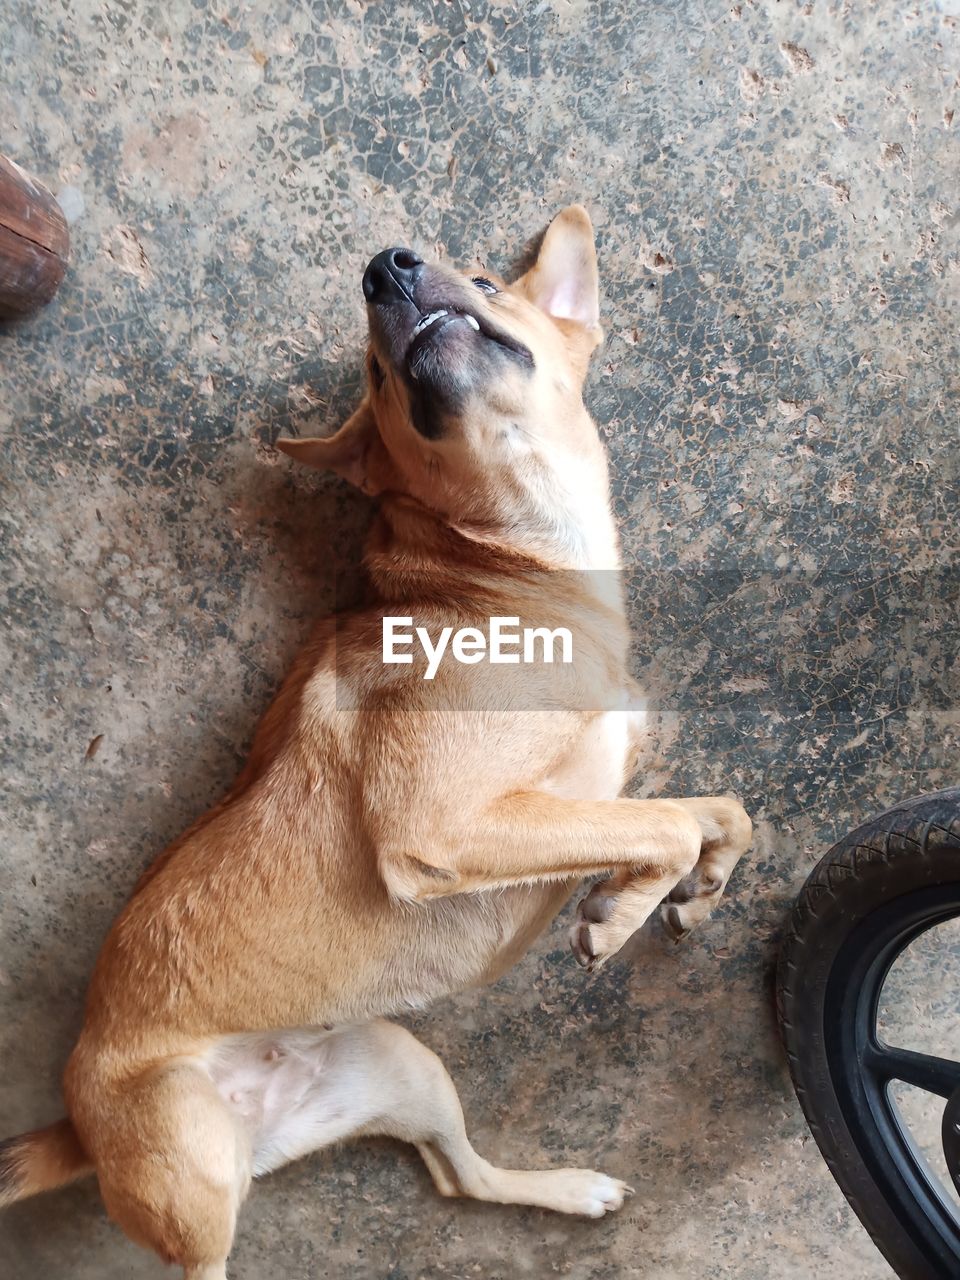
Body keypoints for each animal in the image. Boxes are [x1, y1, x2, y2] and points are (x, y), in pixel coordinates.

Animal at [0, 209, 752, 1280]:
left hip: (403, 1064)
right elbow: (669, 827)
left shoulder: (575, 799)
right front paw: (624, 911)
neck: (514, 577)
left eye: (487, 279)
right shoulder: (442, 826)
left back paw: (572, 1188)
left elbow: (714, 811)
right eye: (371, 368)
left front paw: (693, 892)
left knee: (462, 1178)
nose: (383, 268)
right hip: (191, 1168)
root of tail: (78, 1127)